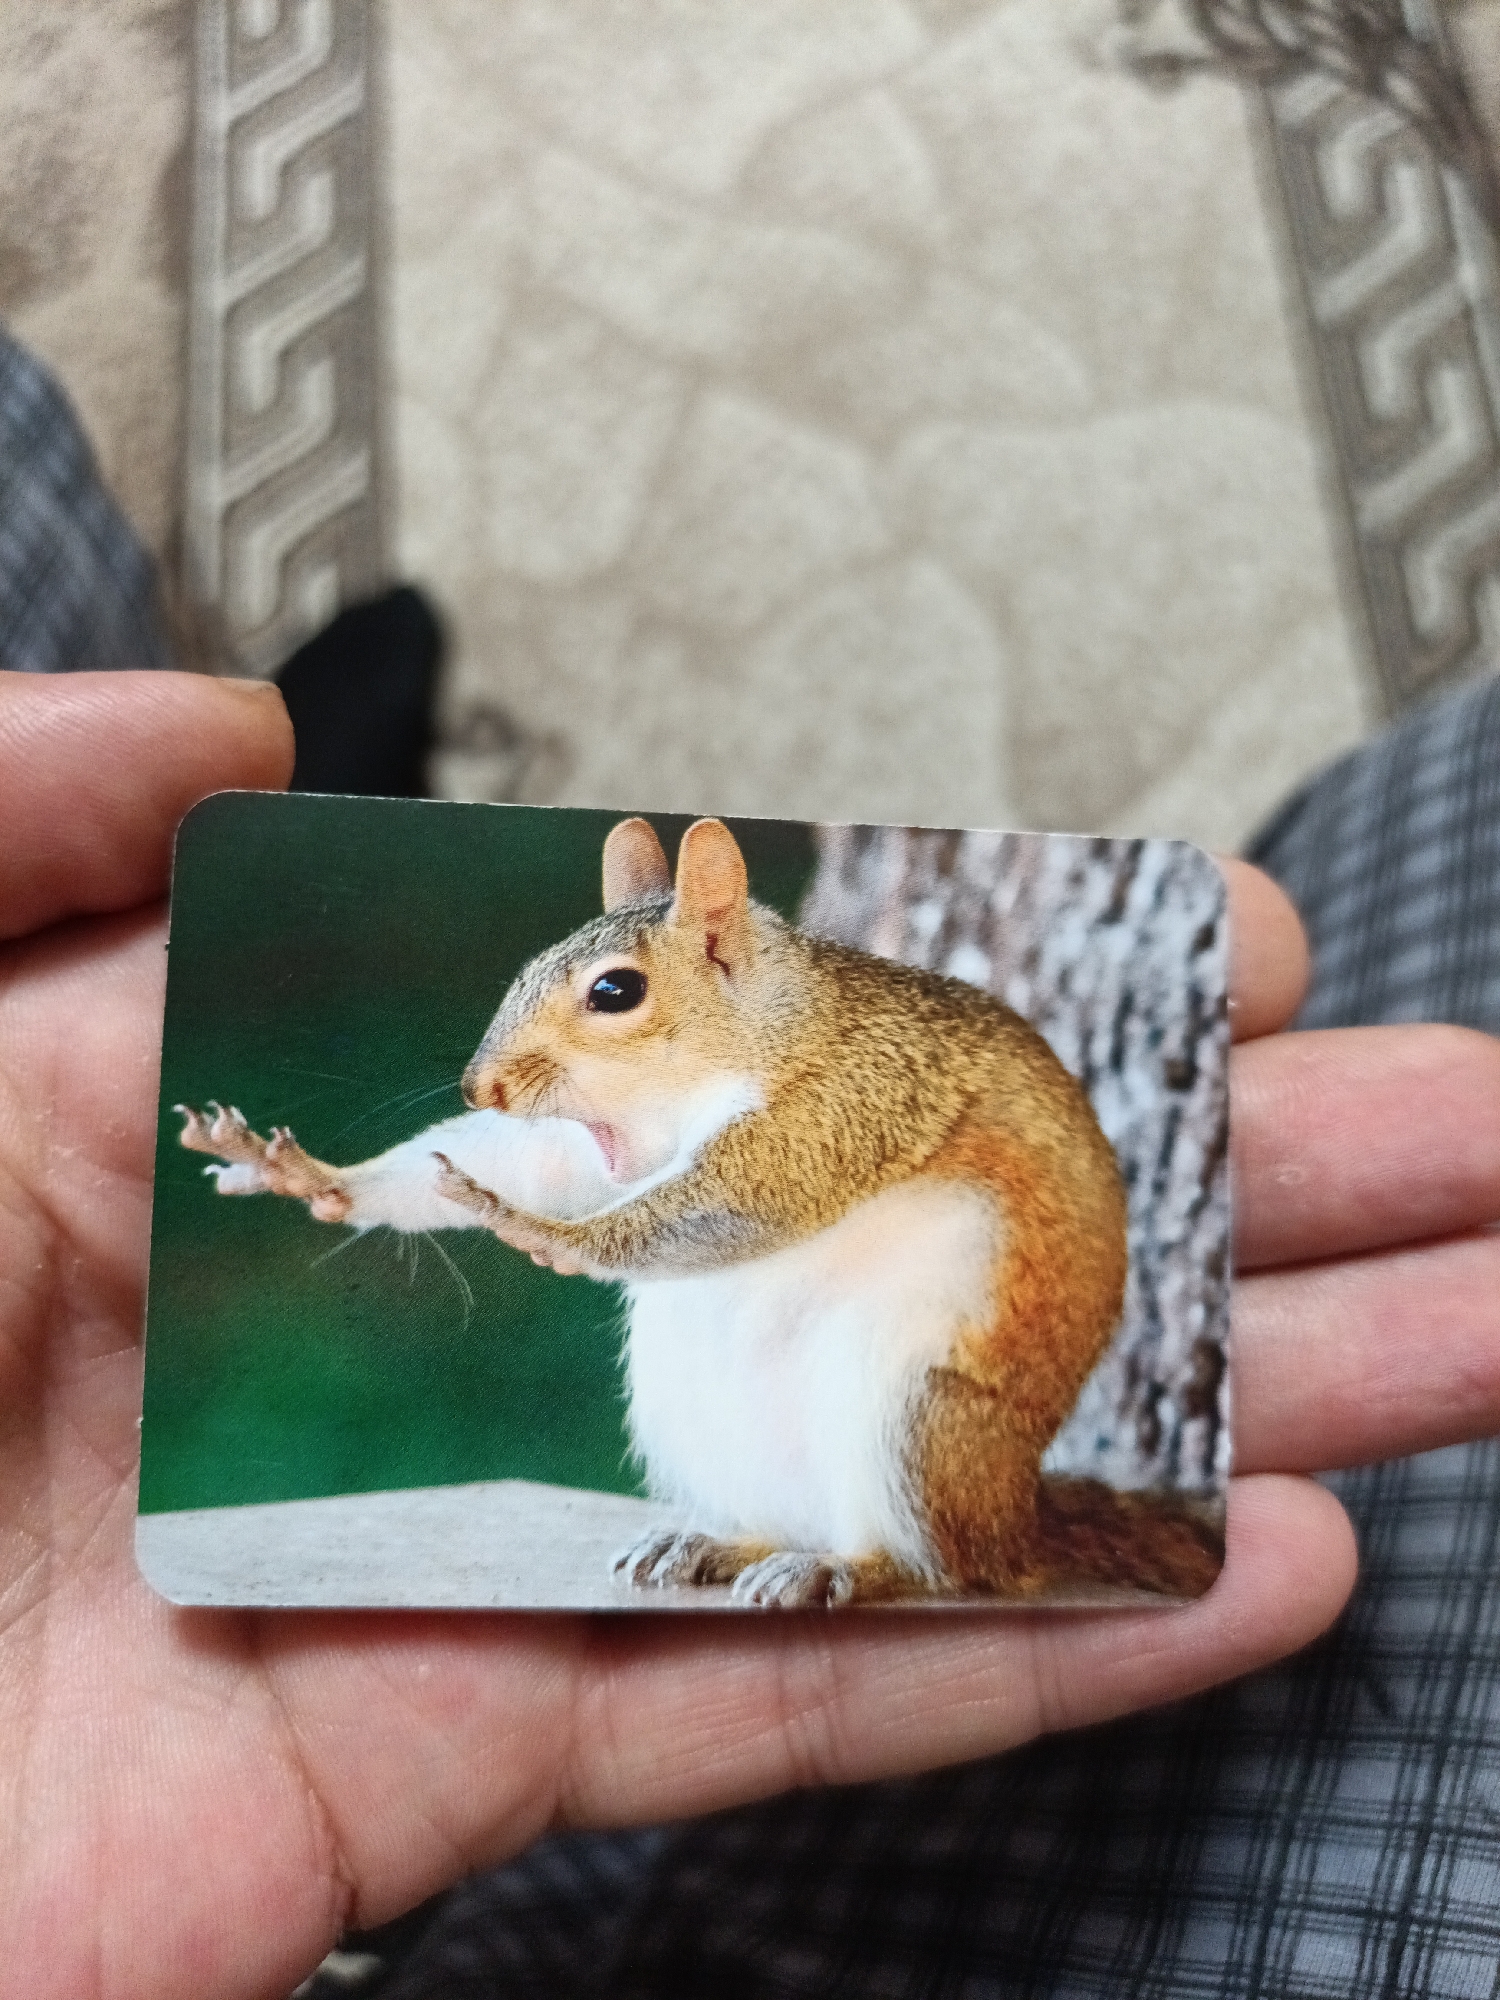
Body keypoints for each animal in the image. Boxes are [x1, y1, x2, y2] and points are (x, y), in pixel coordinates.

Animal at [178, 815, 1224, 1608]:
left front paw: (547, 1235)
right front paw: (311, 1175)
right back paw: (718, 1546)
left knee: (942, 1569)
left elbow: (732, 1201)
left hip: (918, 1421)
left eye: (616, 991)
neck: (753, 1038)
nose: (484, 1086)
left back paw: (844, 1570)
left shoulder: (848, 1105)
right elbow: (526, 1160)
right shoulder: (589, 1145)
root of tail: (1017, 1521)